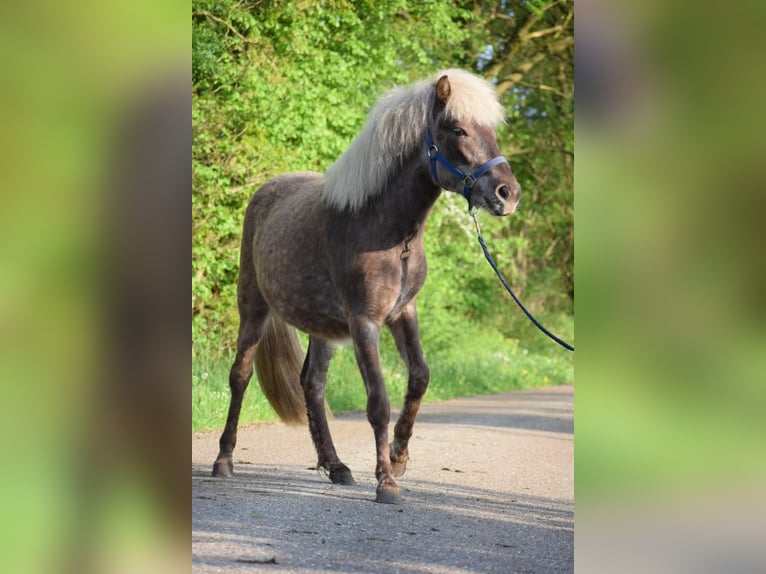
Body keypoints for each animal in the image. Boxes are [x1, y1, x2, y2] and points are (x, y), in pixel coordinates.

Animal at [212, 69, 521, 504]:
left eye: (491, 131)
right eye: (458, 129)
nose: (508, 194)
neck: (385, 229)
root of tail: (265, 191)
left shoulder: (403, 313)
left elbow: (420, 377)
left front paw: (398, 456)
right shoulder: (365, 322)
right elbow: (378, 401)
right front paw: (386, 482)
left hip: (321, 327)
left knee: (313, 384)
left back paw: (336, 466)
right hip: (253, 308)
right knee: (240, 376)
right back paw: (223, 460)